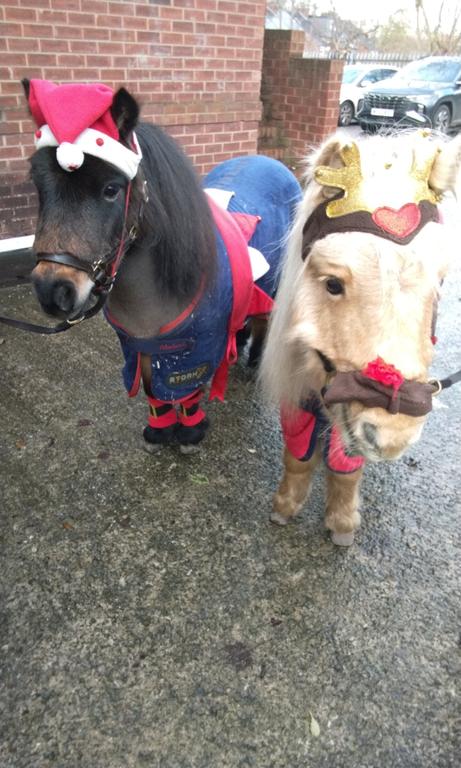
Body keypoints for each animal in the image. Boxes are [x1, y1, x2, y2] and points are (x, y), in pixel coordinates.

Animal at [21, 79, 302, 452]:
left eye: (111, 189)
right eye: (39, 186)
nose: (53, 290)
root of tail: (272, 162)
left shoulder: (196, 346)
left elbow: (186, 391)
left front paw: (190, 432)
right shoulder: (138, 344)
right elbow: (152, 387)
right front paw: (160, 429)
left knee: (263, 321)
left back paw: (255, 359)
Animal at [260, 129, 461, 545]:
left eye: (439, 283)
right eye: (333, 284)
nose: (393, 436)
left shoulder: (350, 414)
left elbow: (344, 466)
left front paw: (341, 522)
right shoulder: (301, 390)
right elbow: (298, 454)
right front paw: (285, 505)